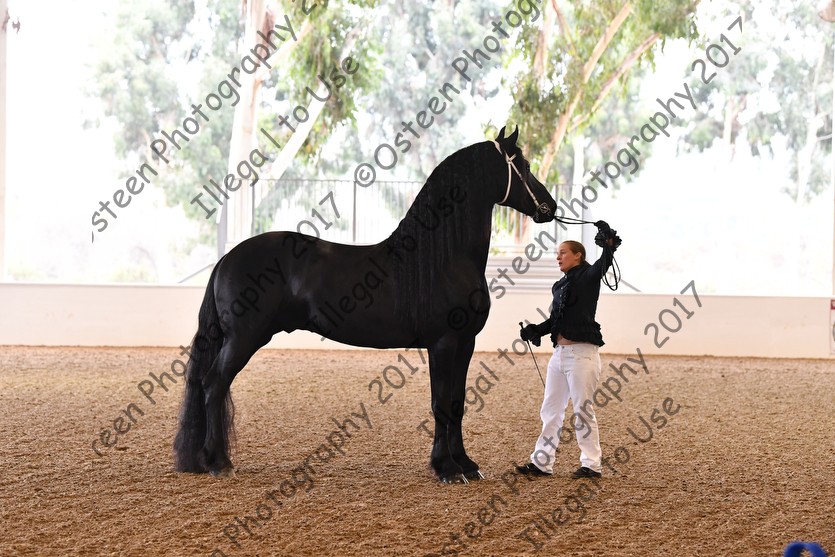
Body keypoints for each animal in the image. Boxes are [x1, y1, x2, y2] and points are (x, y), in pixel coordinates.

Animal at [173, 126, 557, 483]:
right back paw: (218, 462)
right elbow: (440, 405)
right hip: (243, 338)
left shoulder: (465, 344)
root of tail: (227, 258)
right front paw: (446, 468)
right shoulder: (443, 343)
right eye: (523, 165)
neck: (442, 259)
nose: (550, 208)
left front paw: (466, 465)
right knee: (213, 384)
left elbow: (458, 404)